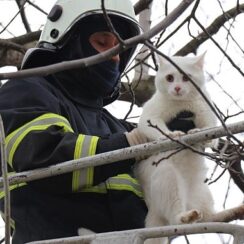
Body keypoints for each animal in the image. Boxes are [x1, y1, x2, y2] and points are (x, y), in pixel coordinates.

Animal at [137, 54, 217, 243]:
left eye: (186, 78)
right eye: (170, 78)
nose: (178, 87)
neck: (182, 105)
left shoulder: (207, 112)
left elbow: (210, 129)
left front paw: (199, 134)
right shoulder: (149, 116)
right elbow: (154, 127)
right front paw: (172, 134)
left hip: (204, 194)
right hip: (167, 176)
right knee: (175, 218)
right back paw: (186, 216)